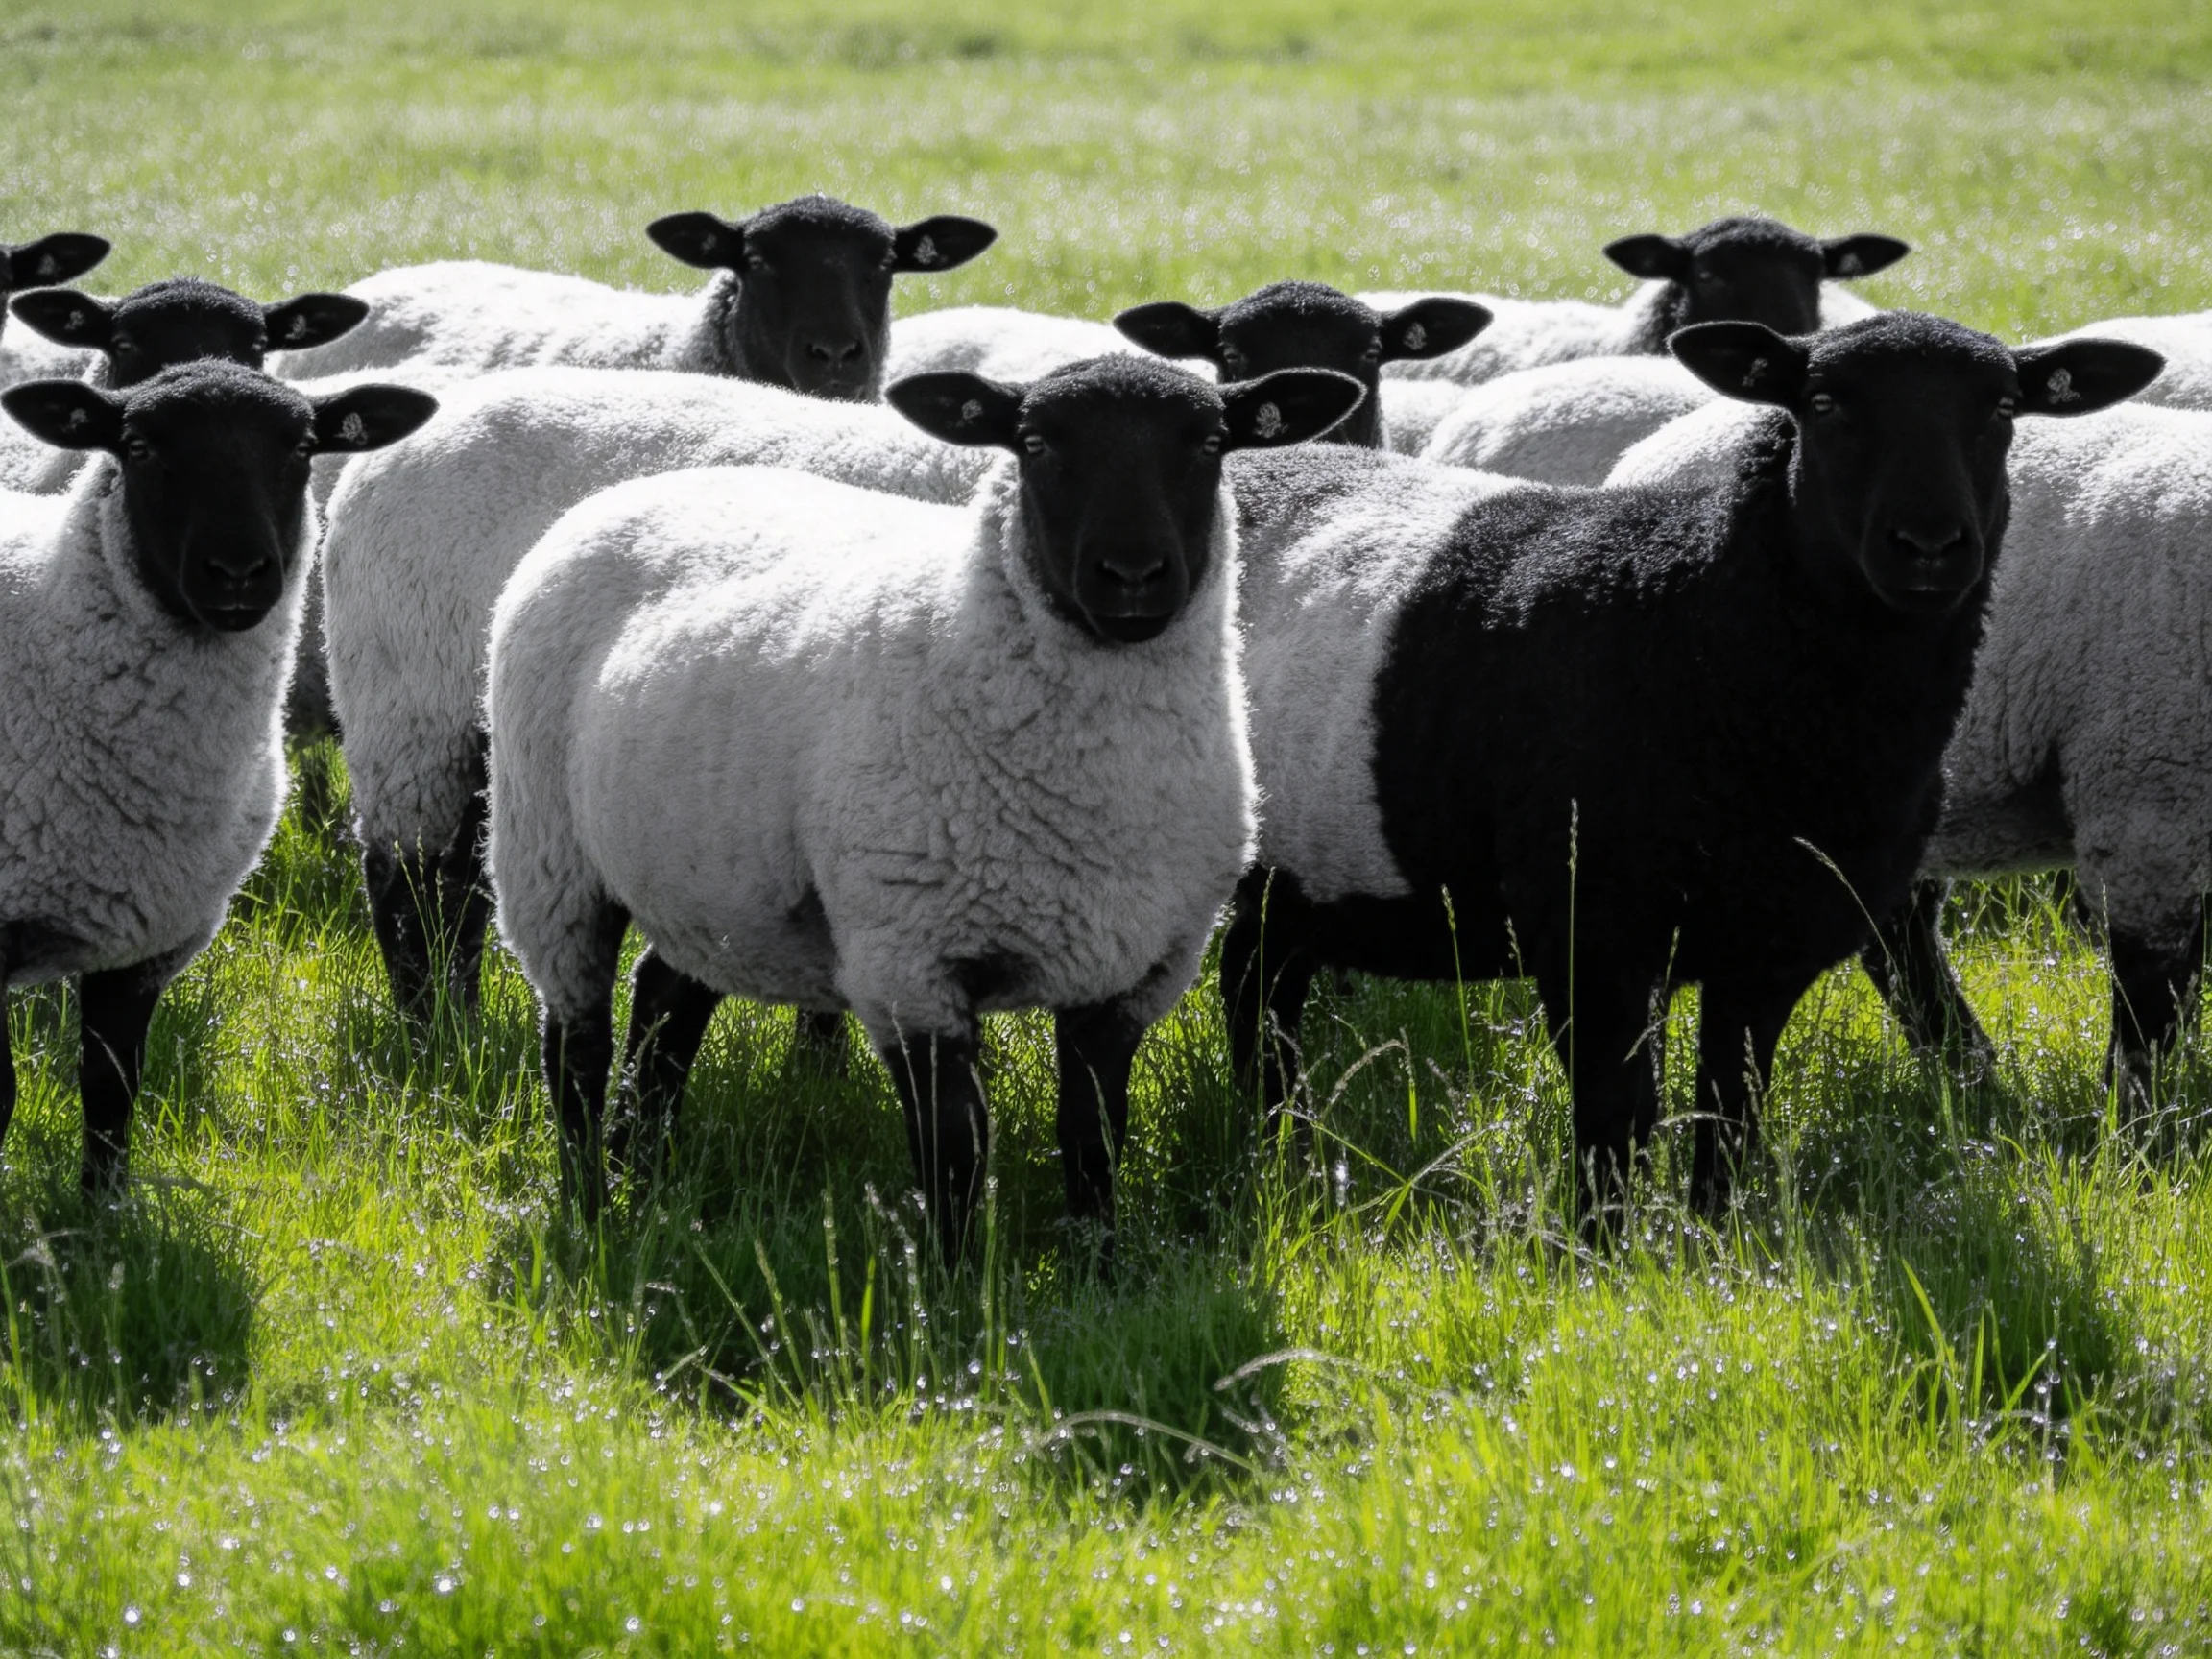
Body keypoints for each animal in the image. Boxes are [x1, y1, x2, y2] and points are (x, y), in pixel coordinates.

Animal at [0, 362, 434, 1190]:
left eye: (300, 448)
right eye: (138, 447)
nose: (237, 572)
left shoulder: (148, 943)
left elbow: (111, 1093)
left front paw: (102, 1213)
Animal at [484, 355, 1366, 1237]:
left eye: (1212, 443)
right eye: (1036, 444)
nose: (1133, 578)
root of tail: (629, 493)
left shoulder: (1131, 975)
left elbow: (1094, 1144)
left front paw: (1097, 1259)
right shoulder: (911, 964)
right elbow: (954, 1159)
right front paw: (954, 1273)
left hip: (710, 873)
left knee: (665, 1001)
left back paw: (639, 1168)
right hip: (547, 855)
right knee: (574, 1044)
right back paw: (588, 1202)